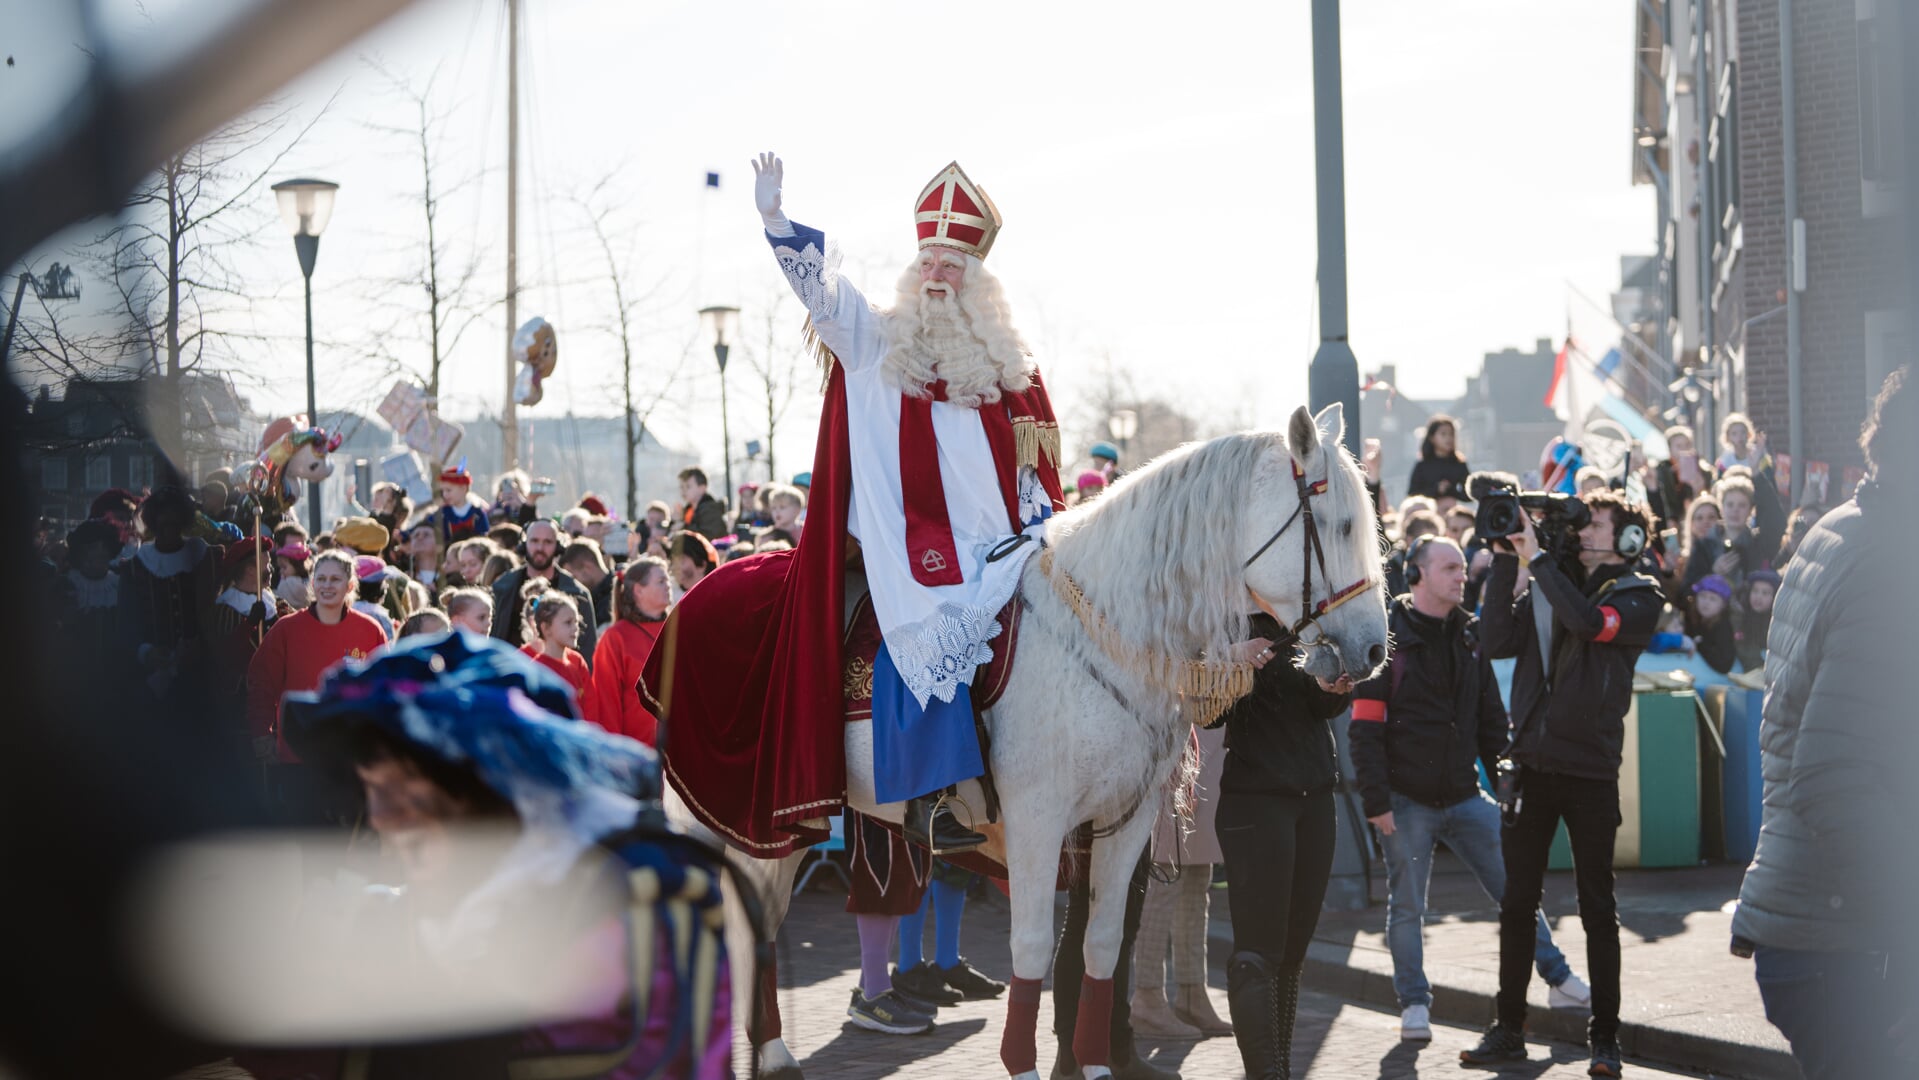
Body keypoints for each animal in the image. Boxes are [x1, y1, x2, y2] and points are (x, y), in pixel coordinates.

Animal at [683, 406, 1389, 1080]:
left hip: (788, 825)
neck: (1112, 627)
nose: (1374, 651)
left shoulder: (1124, 822)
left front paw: (1097, 1063)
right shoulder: (1036, 821)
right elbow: (1031, 948)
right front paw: (1022, 1065)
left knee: (762, 923)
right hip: (716, 818)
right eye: (1339, 526)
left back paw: (772, 1051)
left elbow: (1102, 945)